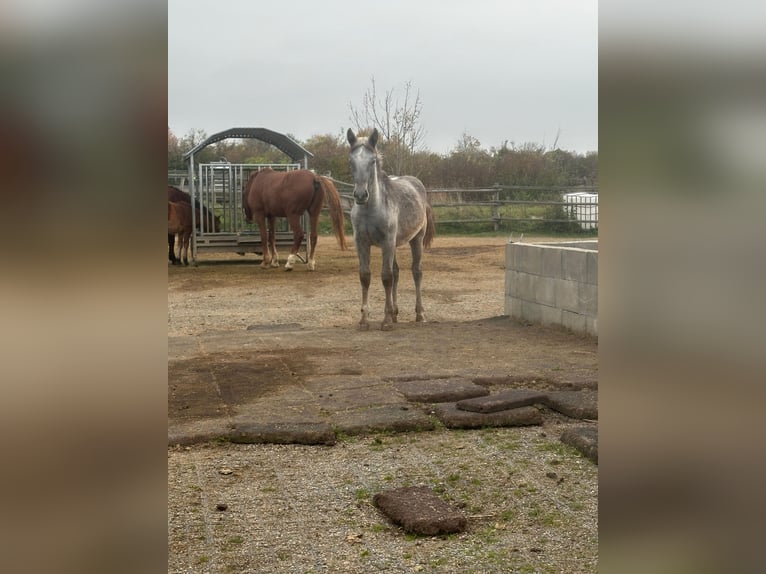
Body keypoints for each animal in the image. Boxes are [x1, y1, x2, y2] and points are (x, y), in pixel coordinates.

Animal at [346, 128, 436, 330]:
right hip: (394, 244)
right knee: (397, 272)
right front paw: (364, 319)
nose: (361, 195)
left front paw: (386, 320)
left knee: (416, 271)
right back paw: (395, 313)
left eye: (372, 161)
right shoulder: (361, 242)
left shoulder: (387, 241)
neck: (371, 209)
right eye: (351, 161)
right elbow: (365, 276)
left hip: (416, 239)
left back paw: (420, 314)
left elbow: (386, 277)